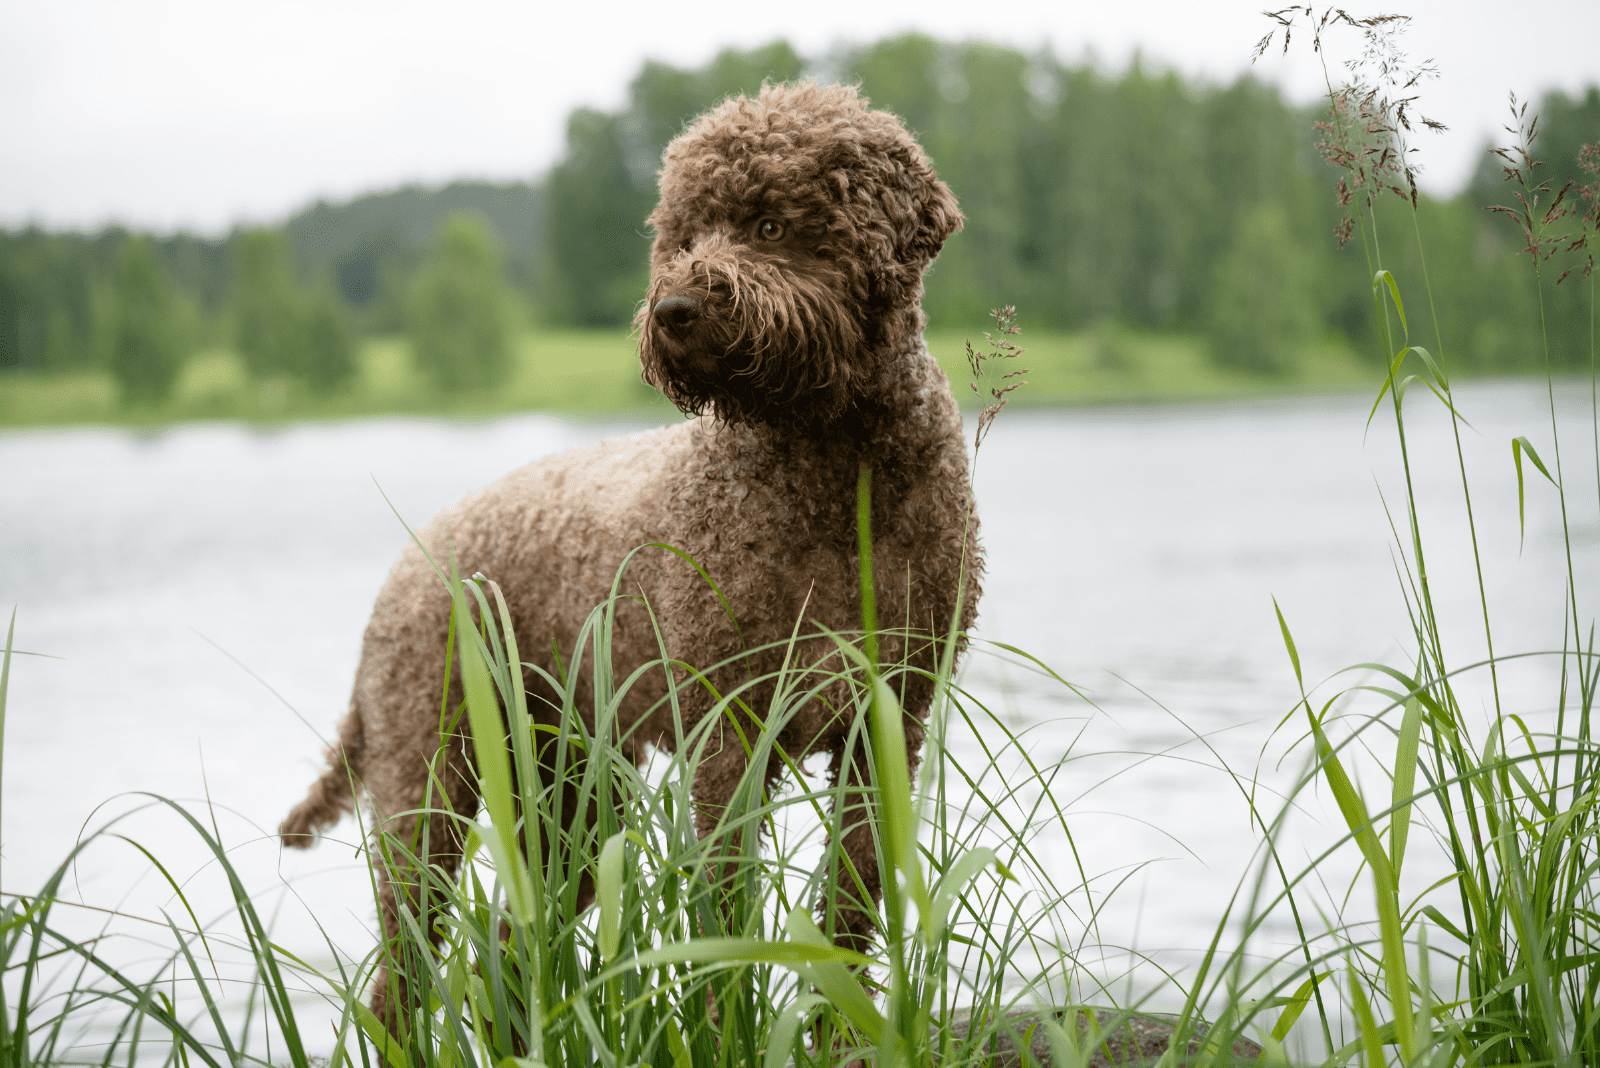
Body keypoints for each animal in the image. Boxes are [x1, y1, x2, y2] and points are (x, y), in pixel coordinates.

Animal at [286, 83, 979, 1023]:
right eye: (682, 236)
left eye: (768, 223)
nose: (675, 310)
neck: (839, 478)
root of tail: (406, 561)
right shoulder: (728, 728)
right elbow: (728, 913)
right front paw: (728, 1024)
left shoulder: (890, 719)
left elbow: (850, 903)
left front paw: (844, 1031)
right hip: (430, 780)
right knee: (404, 973)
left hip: (574, 798)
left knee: (508, 947)